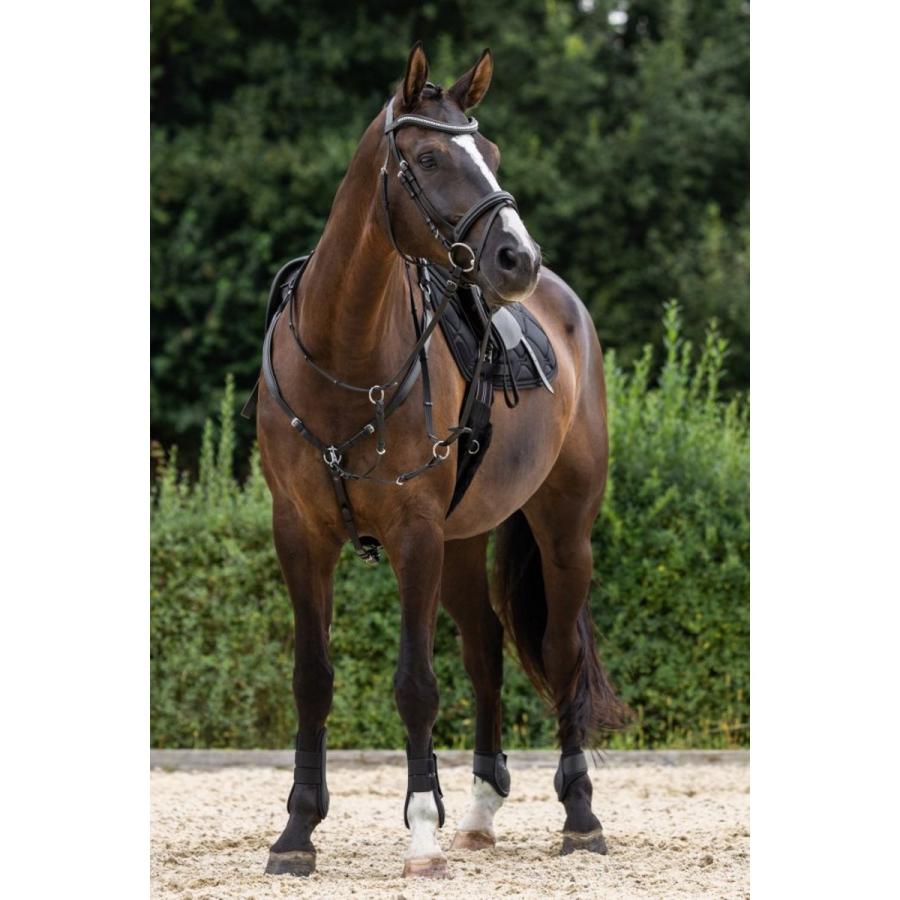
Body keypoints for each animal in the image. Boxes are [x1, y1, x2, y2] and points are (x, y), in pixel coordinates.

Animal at [253, 42, 628, 879]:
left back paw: (581, 816)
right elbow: (311, 679)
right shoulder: (300, 535)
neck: (344, 355)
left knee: (558, 653)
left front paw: (421, 830)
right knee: (485, 649)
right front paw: (297, 830)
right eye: (428, 157)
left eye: (492, 153)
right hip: (463, 542)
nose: (518, 257)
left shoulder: (414, 536)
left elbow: (417, 685)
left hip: (563, 531)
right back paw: (483, 810)